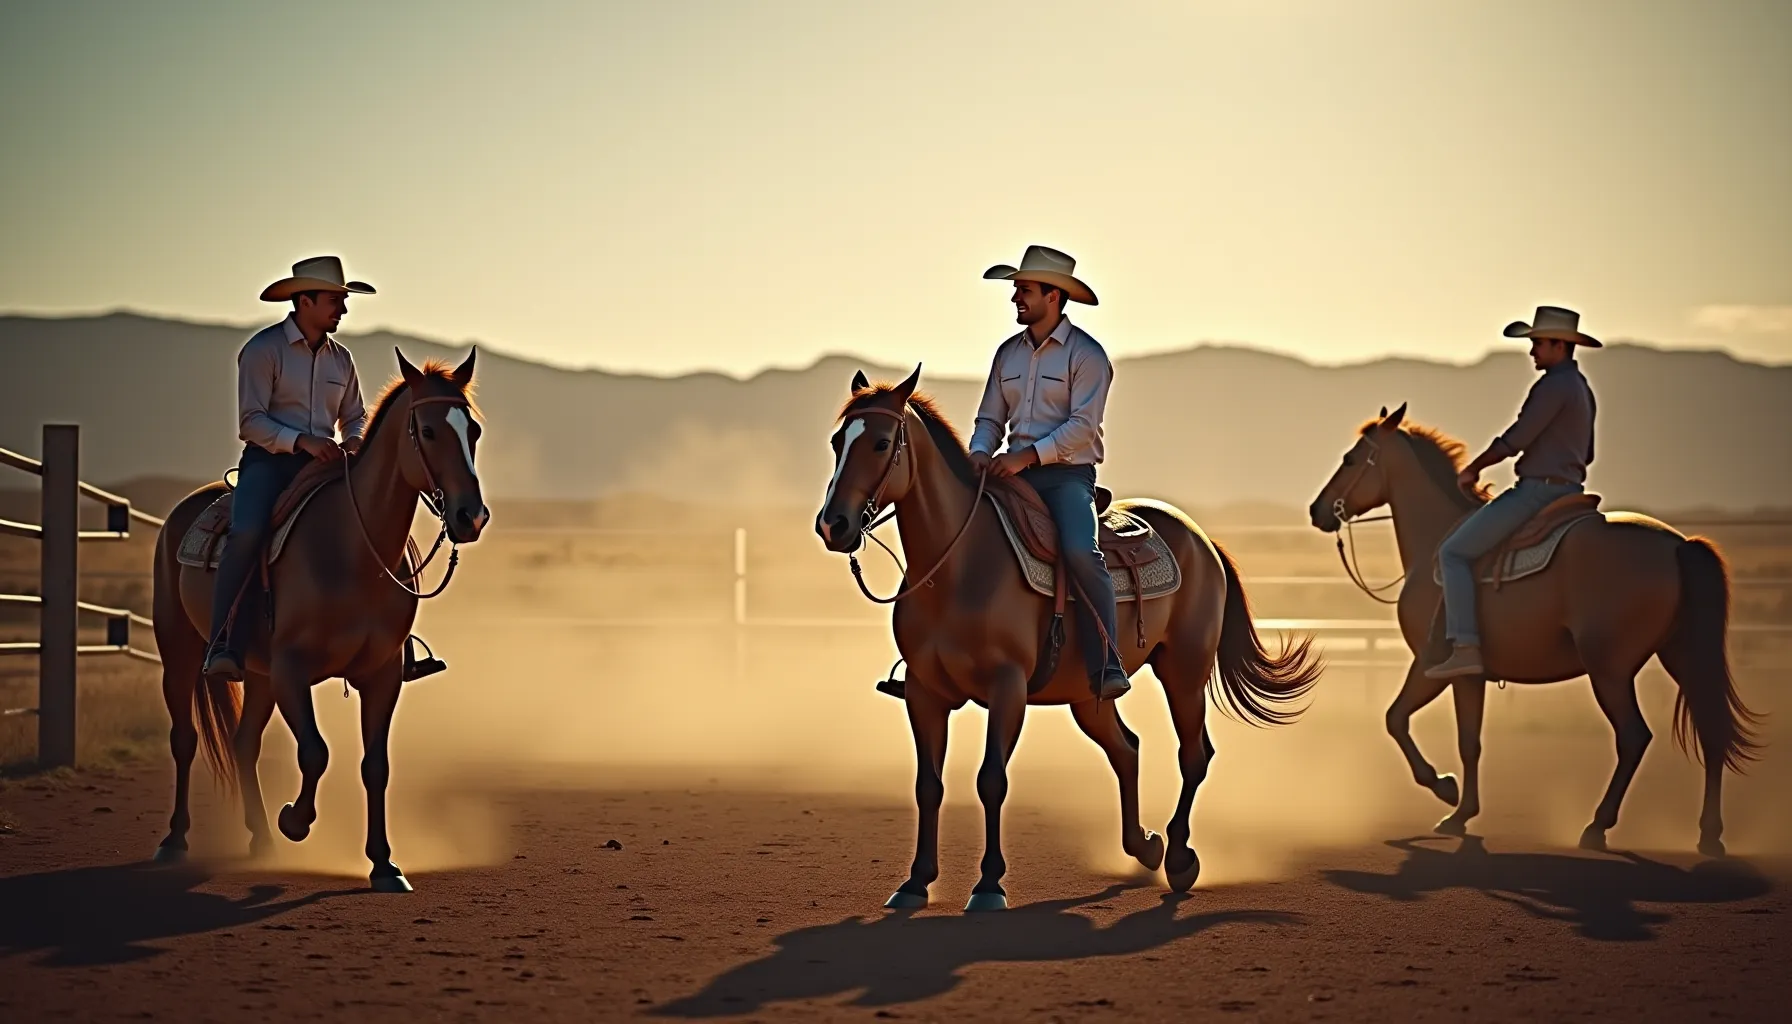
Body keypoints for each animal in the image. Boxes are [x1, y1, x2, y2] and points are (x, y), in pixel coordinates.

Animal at [152, 351, 491, 889]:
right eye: (429, 430)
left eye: (472, 429)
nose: (470, 517)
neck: (352, 550)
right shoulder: (293, 670)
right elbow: (315, 751)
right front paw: (295, 820)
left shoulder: (381, 675)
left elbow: (375, 766)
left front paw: (384, 864)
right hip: (180, 654)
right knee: (184, 740)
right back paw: (175, 840)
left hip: (258, 674)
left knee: (244, 744)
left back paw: (261, 840)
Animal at [813, 364, 1318, 911]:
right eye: (838, 440)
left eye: (882, 442)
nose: (833, 524)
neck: (960, 565)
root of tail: (1201, 538)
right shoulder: (924, 693)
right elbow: (929, 784)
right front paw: (915, 882)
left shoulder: (1007, 688)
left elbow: (991, 780)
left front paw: (989, 885)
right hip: (1089, 695)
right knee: (1127, 749)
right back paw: (1145, 847)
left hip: (1183, 671)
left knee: (1193, 755)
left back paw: (1180, 857)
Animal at [1311, 405, 1756, 853]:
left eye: (1351, 458)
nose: (1317, 510)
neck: (1435, 544)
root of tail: (1679, 545)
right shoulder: (1471, 676)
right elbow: (1469, 741)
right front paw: (1462, 813)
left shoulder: (1433, 666)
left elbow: (1399, 720)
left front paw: (1446, 791)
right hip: (1682, 654)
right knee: (1711, 730)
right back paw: (1709, 834)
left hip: (1608, 669)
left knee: (1633, 737)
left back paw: (1597, 826)